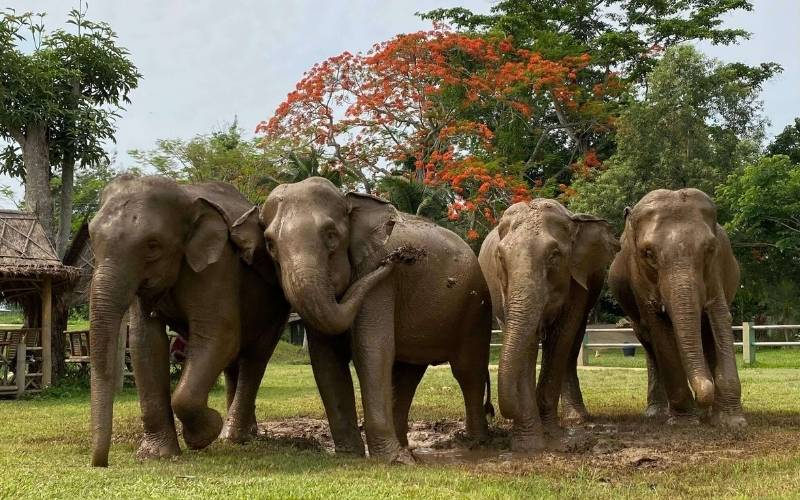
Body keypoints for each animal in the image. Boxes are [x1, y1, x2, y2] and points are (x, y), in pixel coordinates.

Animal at [88, 175, 290, 467]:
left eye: (153, 246)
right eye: (91, 237)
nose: (100, 464)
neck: (184, 197)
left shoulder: (218, 265)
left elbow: (219, 335)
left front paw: (205, 433)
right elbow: (145, 342)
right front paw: (156, 455)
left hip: (277, 306)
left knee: (255, 357)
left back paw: (234, 436)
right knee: (235, 363)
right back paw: (239, 433)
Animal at [259, 177, 493, 464]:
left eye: (331, 235)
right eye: (270, 244)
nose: (397, 259)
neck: (350, 200)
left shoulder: (379, 281)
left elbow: (371, 349)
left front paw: (391, 461)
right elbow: (326, 357)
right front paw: (352, 454)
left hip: (475, 308)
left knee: (467, 370)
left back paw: (475, 444)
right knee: (407, 375)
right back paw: (407, 450)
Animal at [478, 199, 619, 451]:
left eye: (554, 255)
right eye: (500, 258)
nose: (491, 410)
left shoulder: (577, 282)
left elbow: (561, 336)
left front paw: (552, 436)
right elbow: (528, 343)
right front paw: (528, 444)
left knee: (573, 341)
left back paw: (577, 418)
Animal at [608, 188, 745, 427]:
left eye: (710, 249)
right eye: (648, 253)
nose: (703, 399)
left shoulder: (715, 272)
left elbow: (719, 317)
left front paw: (732, 422)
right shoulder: (639, 278)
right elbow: (659, 329)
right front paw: (685, 421)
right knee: (649, 342)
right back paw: (658, 413)